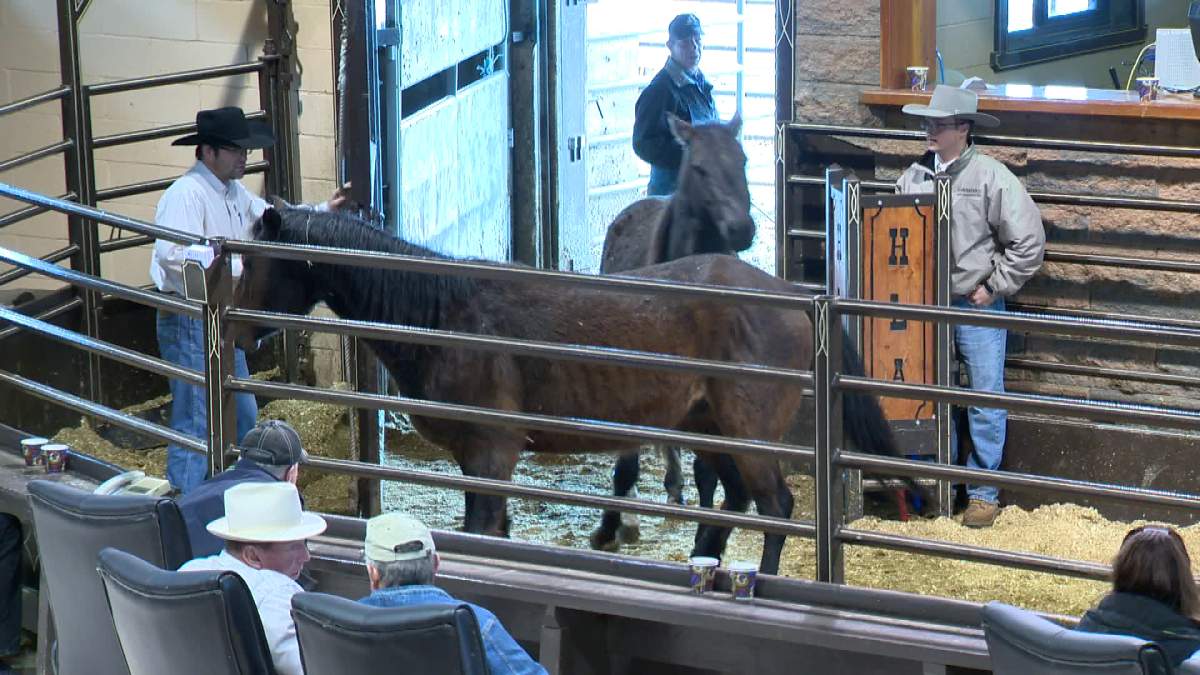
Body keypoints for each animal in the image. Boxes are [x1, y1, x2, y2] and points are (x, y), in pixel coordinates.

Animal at [233, 207, 906, 576]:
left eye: (259, 261)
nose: (237, 330)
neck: (447, 314)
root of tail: (795, 296)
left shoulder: (491, 453)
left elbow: (483, 530)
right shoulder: (475, 459)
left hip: (748, 437)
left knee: (776, 508)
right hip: (709, 429)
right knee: (732, 504)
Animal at [594, 114, 753, 550]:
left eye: (743, 160)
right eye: (698, 167)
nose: (742, 229)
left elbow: (708, 471)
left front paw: (705, 536)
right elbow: (627, 463)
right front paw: (612, 527)